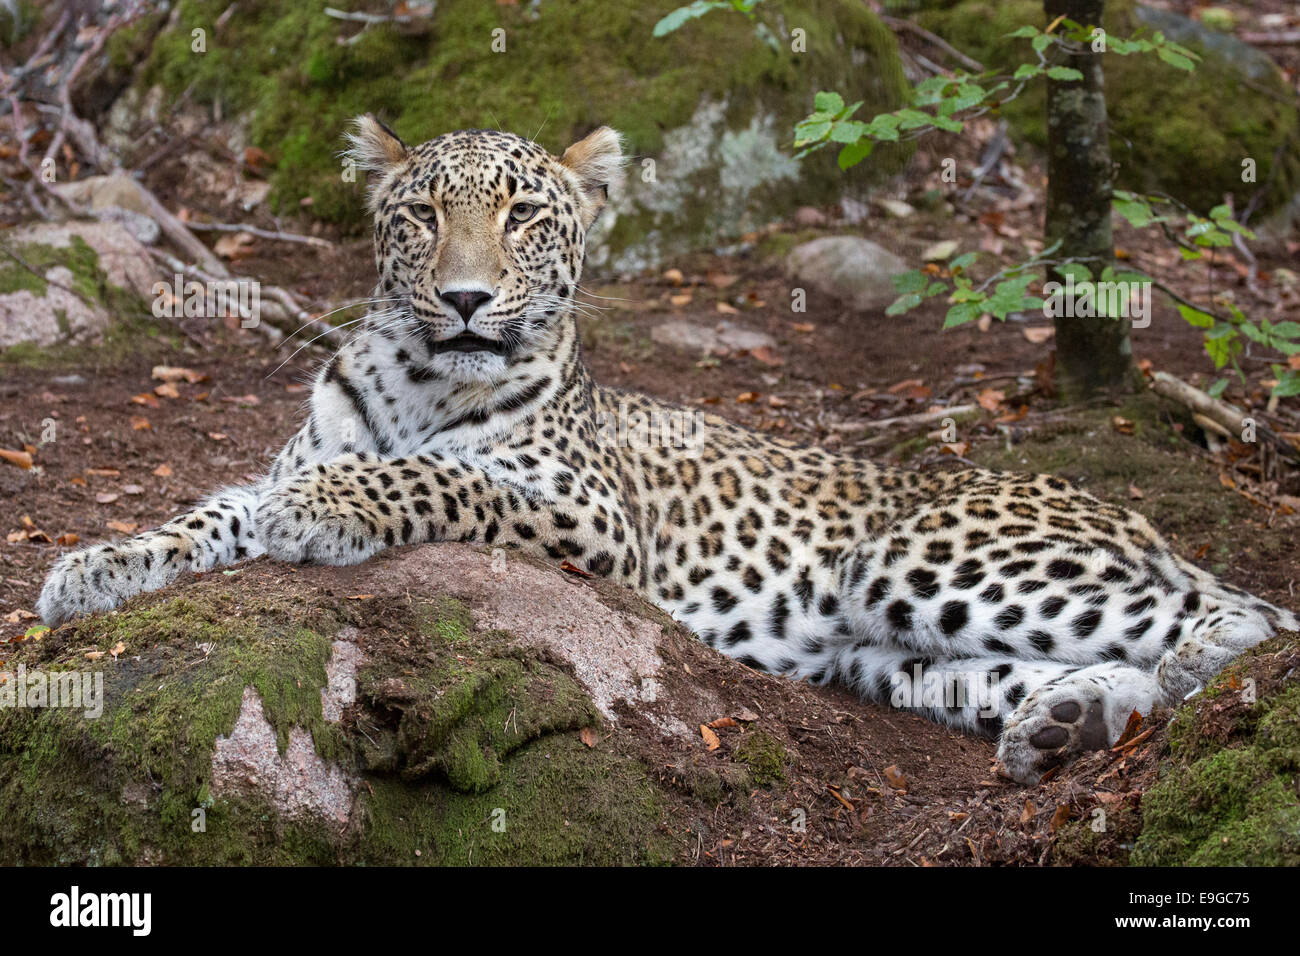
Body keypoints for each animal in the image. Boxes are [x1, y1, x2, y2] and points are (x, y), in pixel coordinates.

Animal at [38, 116, 1298, 784]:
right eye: (422, 215)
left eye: (523, 216)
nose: (463, 299)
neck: (416, 376)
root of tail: (1132, 515)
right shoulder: (289, 453)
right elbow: (211, 509)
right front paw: (95, 565)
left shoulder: (587, 513)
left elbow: (431, 470)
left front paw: (331, 509)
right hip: (891, 653)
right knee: (1083, 661)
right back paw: (1067, 721)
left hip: (918, 560)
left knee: (1237, 618)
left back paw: (1181, 662)